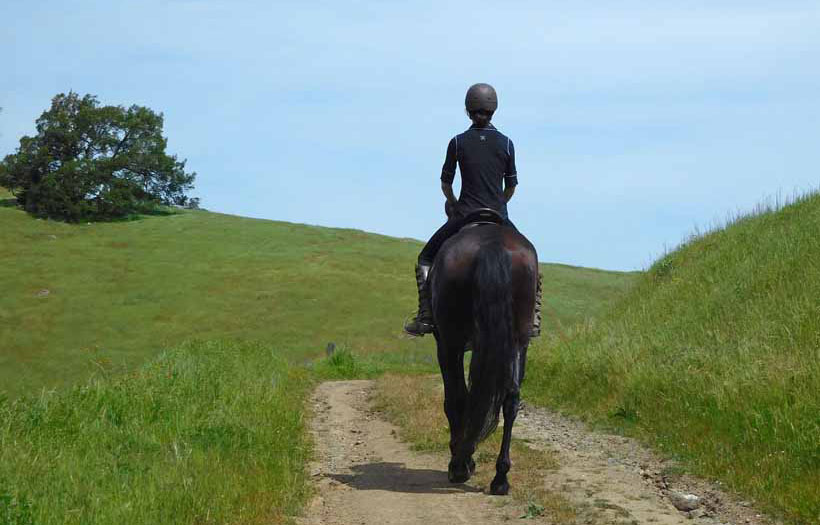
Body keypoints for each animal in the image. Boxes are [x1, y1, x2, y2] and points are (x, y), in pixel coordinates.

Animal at [430, 218, 540, 496]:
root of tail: (492, 244)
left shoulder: (446, 343)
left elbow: (456, 398)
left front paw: (462, 461)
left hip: (451, 340)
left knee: (459, 397)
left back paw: (459, 466)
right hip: (519, 340)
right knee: (511, 400)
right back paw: (500, 478)